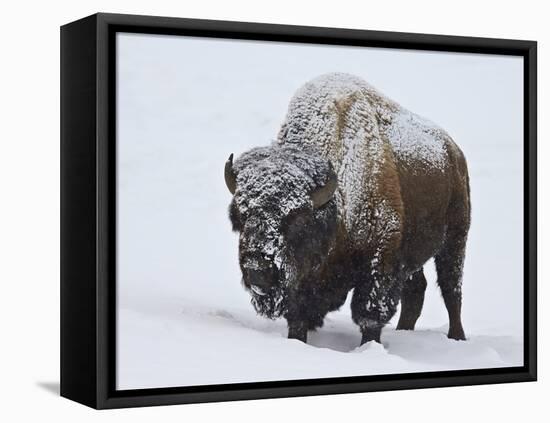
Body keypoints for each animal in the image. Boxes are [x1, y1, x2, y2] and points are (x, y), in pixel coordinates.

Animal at [225, 72, 474, 344]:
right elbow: (298, 316)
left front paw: (370, 346)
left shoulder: (380, 261)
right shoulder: (304, 283)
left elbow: (369, 315)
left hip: (455, 240)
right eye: (241, 216)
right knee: (416, 290)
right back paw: (404, 331)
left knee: (452, 289)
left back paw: (457, 337)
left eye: (298, 220)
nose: (256, 269)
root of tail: (454, 152)